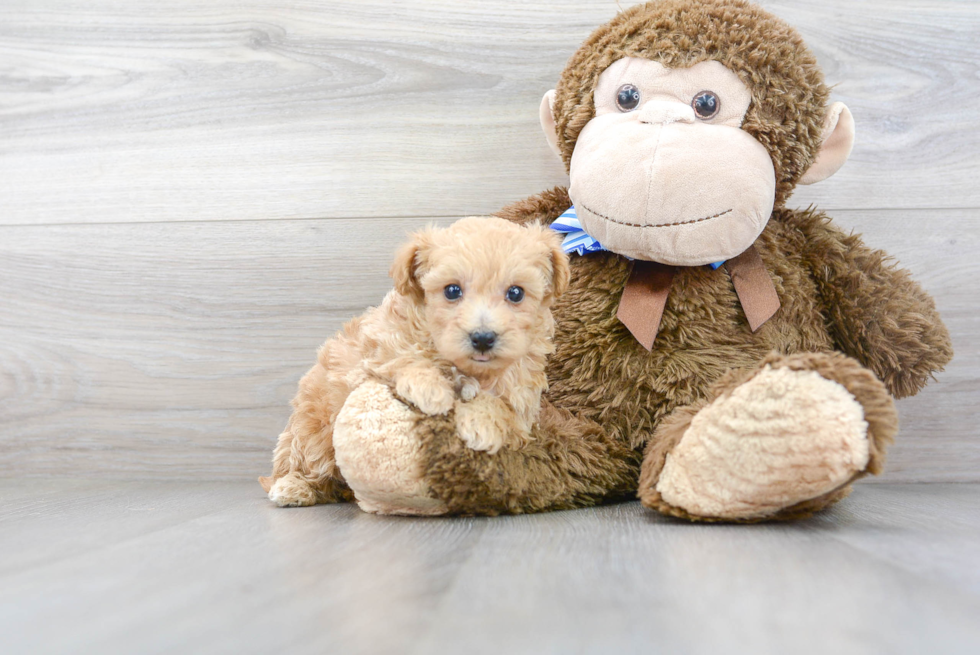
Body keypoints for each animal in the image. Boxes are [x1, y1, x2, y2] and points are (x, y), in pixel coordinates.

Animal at [260, 215, 572, 508]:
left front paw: (482, 423)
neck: (469, 368)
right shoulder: (373, 351)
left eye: (516, 293)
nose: (483, 338)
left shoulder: (522, 399)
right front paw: (431, 388)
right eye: (452, 291)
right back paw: (293, 487)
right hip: (314, 431)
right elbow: (403, 357)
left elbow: (503, 407)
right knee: (303, 465)